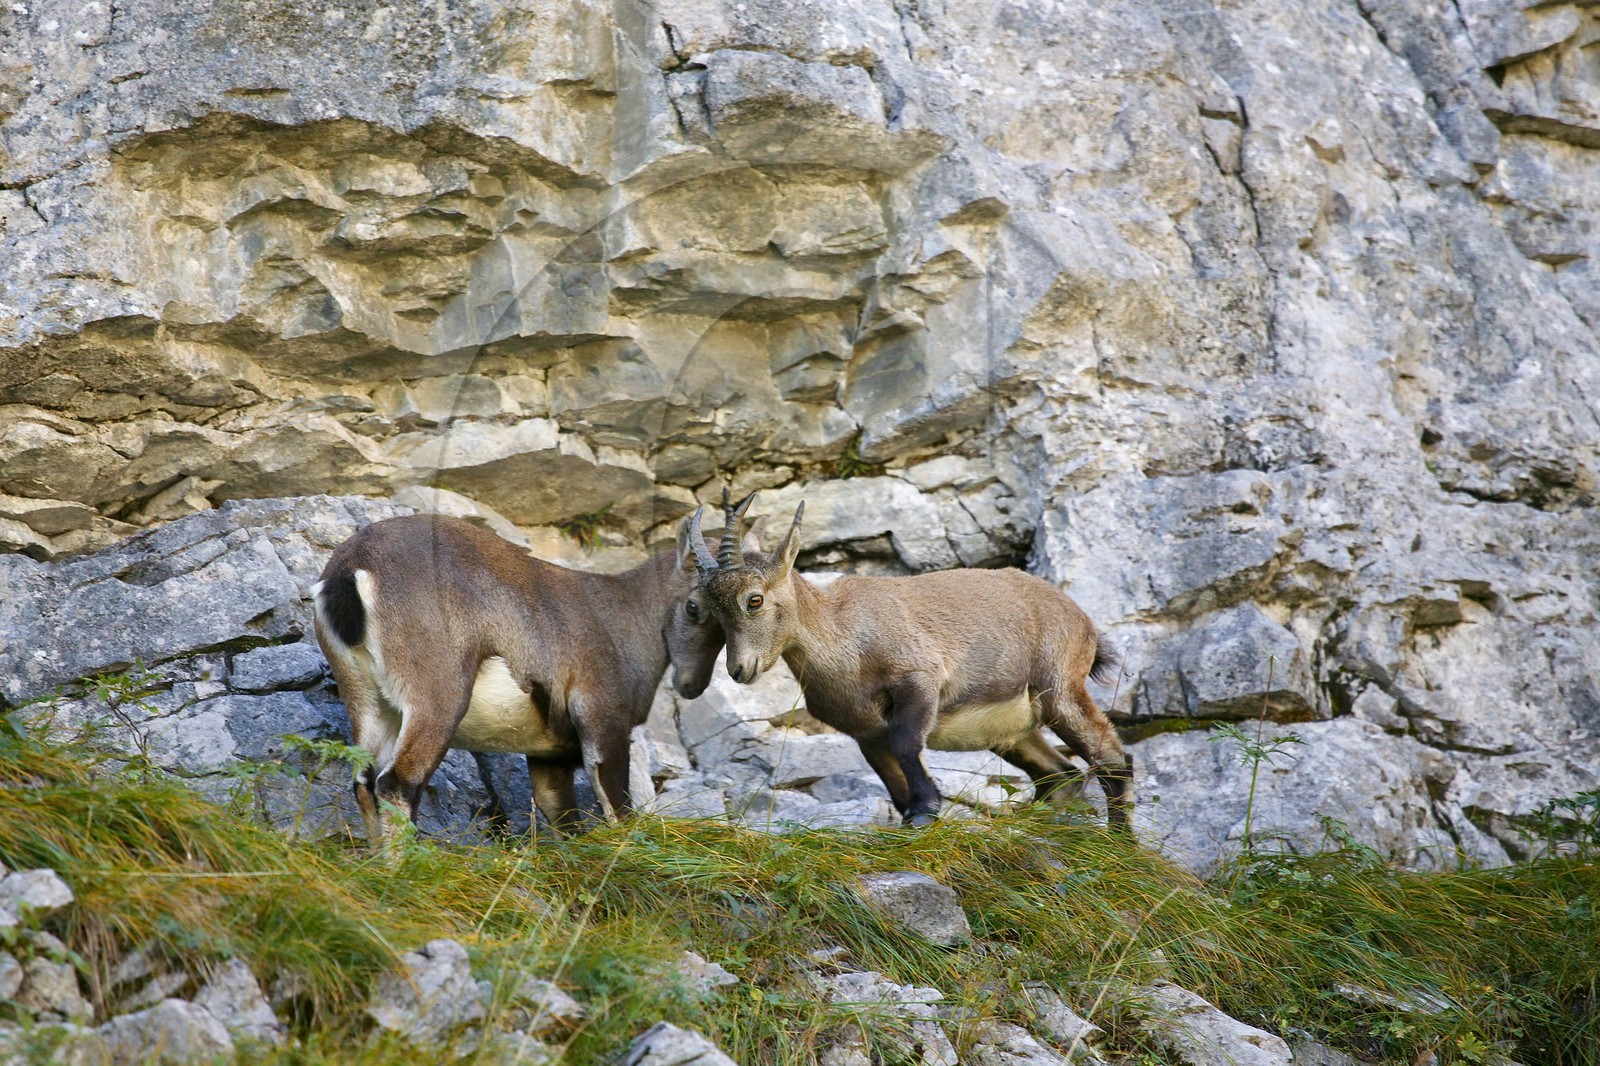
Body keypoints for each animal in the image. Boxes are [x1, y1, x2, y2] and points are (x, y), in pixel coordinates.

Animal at [312, 510, 754, 841]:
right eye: (695, 607)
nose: (691, 685)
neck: (625, 615)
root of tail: (351, 571)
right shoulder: (603, 724)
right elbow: (617, 808)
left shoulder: (548, 755)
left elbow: (564, 819)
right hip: (436, 700)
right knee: (396, 784)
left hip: (368, 701)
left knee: (364, 782)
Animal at [685, 494, 1133, 831]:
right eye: (711, 609)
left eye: (754, 600)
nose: (738, 669)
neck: (845, 639)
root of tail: (1083, 621)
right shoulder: (866, 732)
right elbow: (891, 781)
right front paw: (912, 815)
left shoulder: (919, 680)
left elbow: (906, 742)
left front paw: (927, 808)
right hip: (1012, 731)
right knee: (1061, 774)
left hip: (1059, 690)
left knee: (1111, 759)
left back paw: (1121, 845)